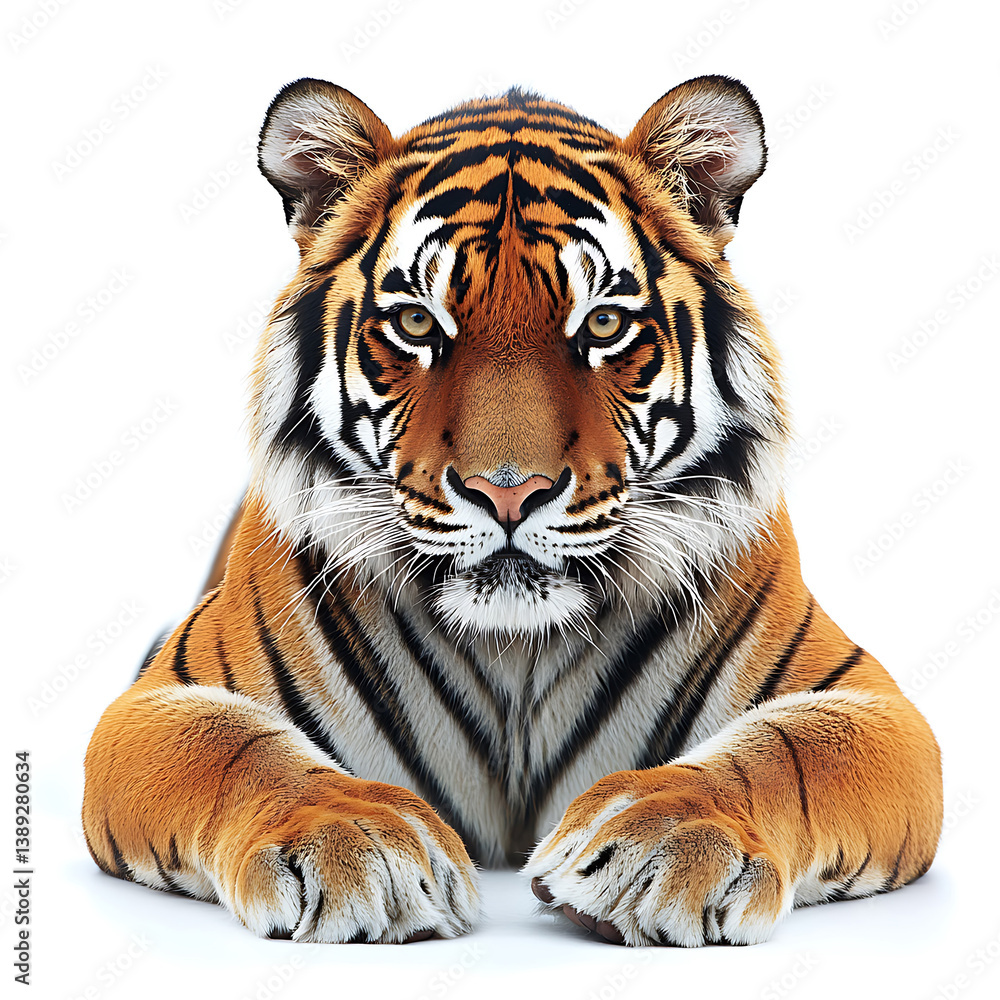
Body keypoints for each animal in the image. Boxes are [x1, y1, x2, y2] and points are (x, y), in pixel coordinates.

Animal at [82, 74, 943, 947]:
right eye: (417, 321)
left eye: (603, 323)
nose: (507, 492)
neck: (516, 653)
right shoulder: (158, 700)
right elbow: (238, 748)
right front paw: (354, 841)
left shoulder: (871, 704)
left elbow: (785, 750)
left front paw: (664, 839)